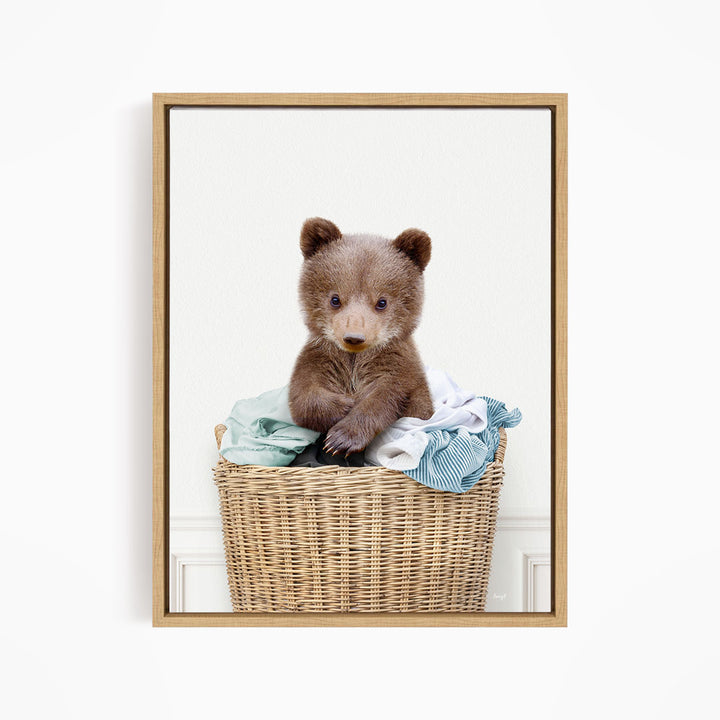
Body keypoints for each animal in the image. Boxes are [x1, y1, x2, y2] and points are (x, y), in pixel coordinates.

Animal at [288, 217, 434, 457]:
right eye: (335, 299)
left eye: (382, 302)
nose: (354, 337)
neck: (355, 360)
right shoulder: (321, 356)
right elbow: (304, 395)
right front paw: (345, 405)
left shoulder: (399, 366)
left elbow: (387, 397)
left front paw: (342, 439)